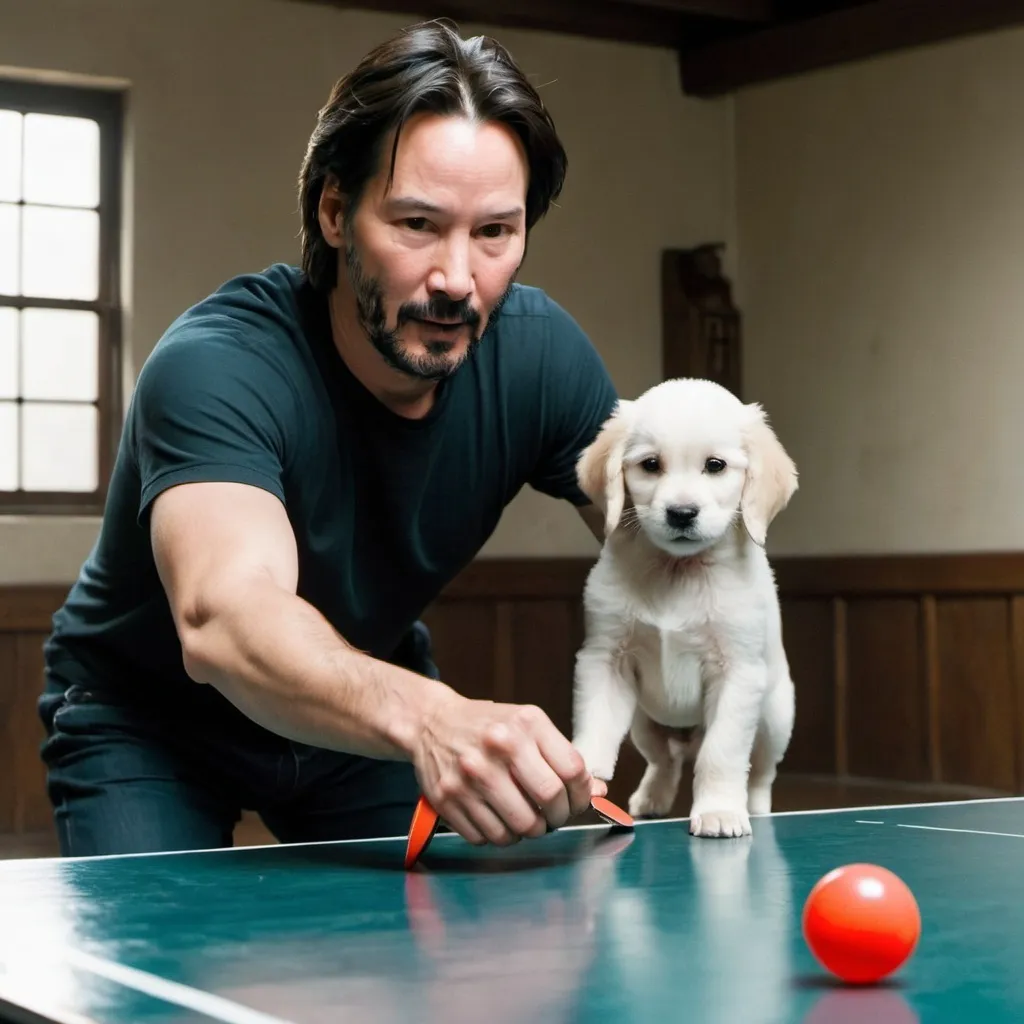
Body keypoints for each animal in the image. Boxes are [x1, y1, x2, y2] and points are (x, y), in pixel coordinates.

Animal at [569, 378, 798, 839]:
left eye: (715, 465)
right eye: (650, 464)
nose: (681, 513)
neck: (678, 570)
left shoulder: (737, 674)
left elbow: (722, 754)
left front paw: (720, 811)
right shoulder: (605, 659)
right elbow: (596, 723)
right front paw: (585, 774)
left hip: (774, 717)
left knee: (758, 772)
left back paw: (755, 806)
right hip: (643, 721)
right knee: (665, 760)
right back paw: (652, 798)